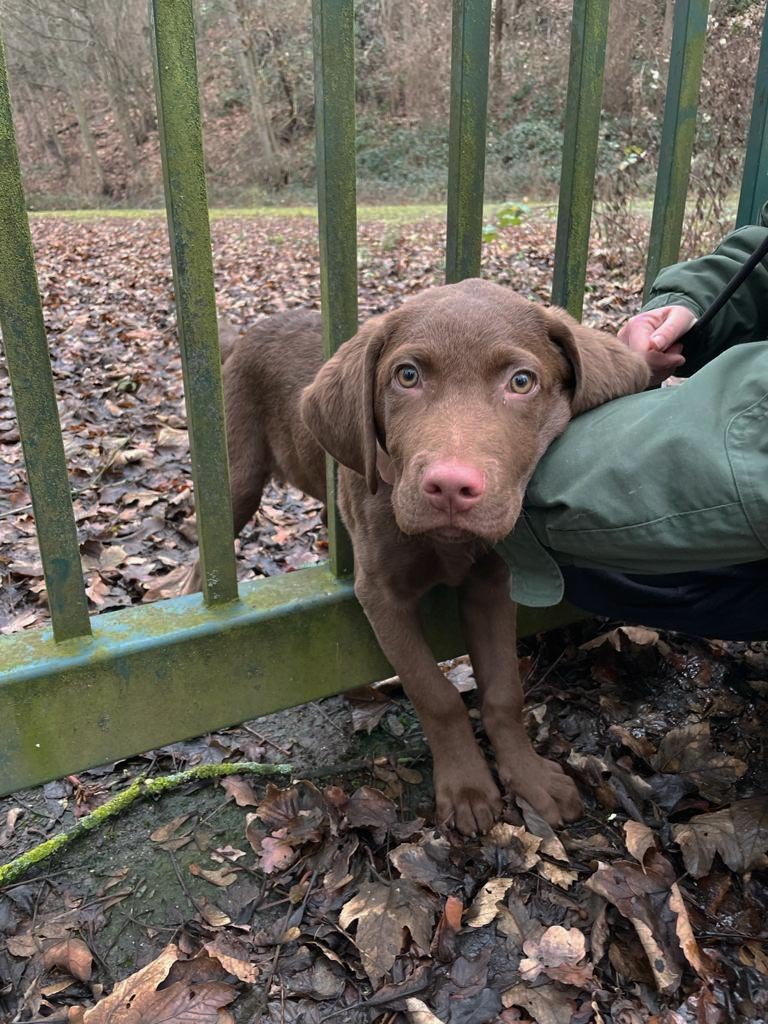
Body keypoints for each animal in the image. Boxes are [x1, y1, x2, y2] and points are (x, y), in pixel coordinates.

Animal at [188, 280, 651, 831]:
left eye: (521, 381)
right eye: (407, 376)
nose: (450, 486)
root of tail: (246, 333)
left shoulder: (491, 584)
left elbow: (503, 691)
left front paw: (530, 778)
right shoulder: (381, 594)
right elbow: (437, 694)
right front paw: (469, 789)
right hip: (236, 478)